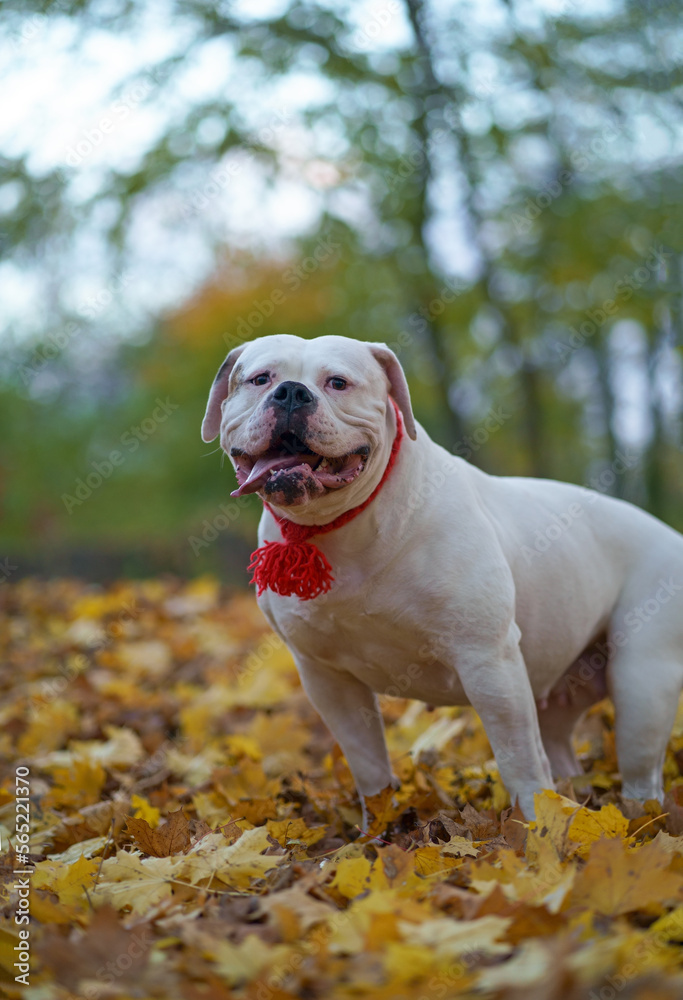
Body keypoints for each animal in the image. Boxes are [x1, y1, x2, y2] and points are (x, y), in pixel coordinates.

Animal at [202, 336, 683, 820]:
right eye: (260, 379)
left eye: (338, 382)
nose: (291, 393)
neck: (339, 527)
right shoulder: (327, 678)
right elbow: (367, 762)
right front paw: (378, 824)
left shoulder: (489, 660)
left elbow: (519, 759)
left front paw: (533, 825)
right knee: (558, 747)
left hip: (642, 681)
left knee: (638, 766)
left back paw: (636, 817)